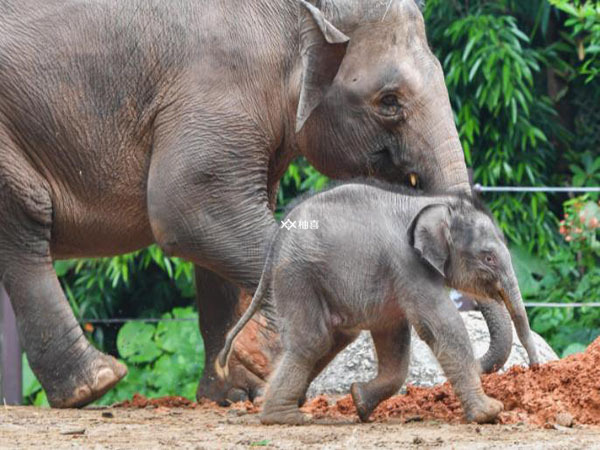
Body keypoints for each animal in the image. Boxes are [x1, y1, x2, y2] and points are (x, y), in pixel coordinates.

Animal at [0, 0, 492, 408]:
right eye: (389, 101)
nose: (486, 365)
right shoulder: (217, 85)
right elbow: (188, 206)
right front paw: (266, 356)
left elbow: (212, 231)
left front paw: (234, 391)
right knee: (25, 223)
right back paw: (95, 385)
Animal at [216, 181, 540, 424]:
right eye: (489, 257)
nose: (535, 367)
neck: (431, 202)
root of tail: (276, 243)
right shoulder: (407, 264)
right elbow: (441, 325)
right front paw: (490, 412)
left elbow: (394, 336)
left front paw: (359, 401)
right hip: (298, 275)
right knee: (313, 340)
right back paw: (284, 417)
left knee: (334, 338)